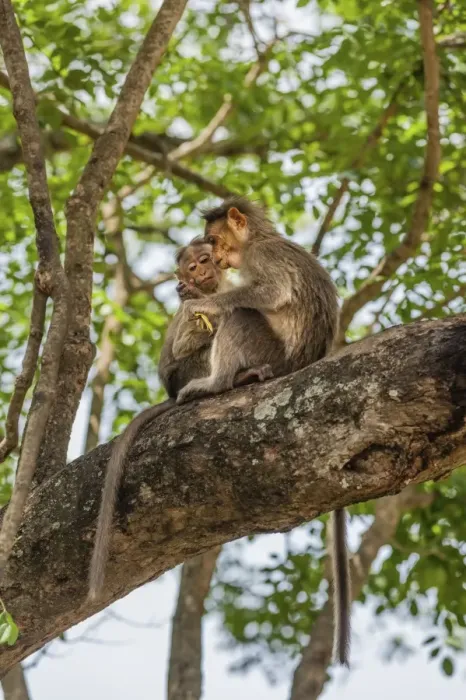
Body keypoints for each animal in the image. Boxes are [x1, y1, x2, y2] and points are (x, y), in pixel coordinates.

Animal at [175, 197, 350, 666]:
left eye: (214, 243)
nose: (216, 260)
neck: (259, 238)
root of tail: (300, 366)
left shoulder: (261, 258)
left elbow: (269, 293)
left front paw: (204, 305)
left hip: (268, 350)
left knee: (242, 315)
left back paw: (216, 382)